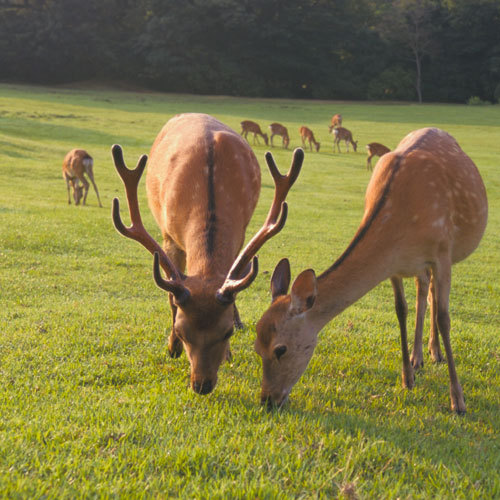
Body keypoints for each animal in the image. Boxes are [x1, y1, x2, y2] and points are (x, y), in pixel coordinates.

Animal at [111, 113, 302, 394]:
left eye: (226, 333)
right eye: (181, 331)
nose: (201, 384)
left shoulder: (240, 234)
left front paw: (229, 353)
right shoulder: (169, 236)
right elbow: (171, 297)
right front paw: (172, 348)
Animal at [254, 127, 488, 412]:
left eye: (281, 349)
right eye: (256, 347)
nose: (267, 399)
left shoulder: (443, 252)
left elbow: (445, 318)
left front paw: (458, 401)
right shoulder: (394, 265)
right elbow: (401, 310)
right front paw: (407, 379)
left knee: (433, 296)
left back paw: (436, 353)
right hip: (420, 267)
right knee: (424, 292)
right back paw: (419, 357)